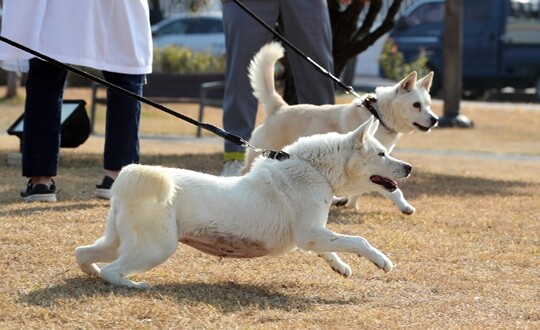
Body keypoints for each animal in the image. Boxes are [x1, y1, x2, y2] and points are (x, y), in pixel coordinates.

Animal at [76, 117, 412, 288]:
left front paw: (340, 267)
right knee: (113, 272)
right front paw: (382, 261)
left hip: (119, 241)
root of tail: (127, 179)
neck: (313, 170)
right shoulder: (310, 234)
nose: (408, 167)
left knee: (84, 253)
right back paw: (133, 285)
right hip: (155, 248)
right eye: (382, 153)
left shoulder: (312, 235)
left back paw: (91, 270)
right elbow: (357, 240)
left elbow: (331, 248)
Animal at [243, 42, 436, 214]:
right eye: (416, 105)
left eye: (428, 104)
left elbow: (365, 187)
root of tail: (279, 107)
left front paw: (352, 205)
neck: (378, 114)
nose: (435, 120)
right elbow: (391, 189)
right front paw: (404, 206)